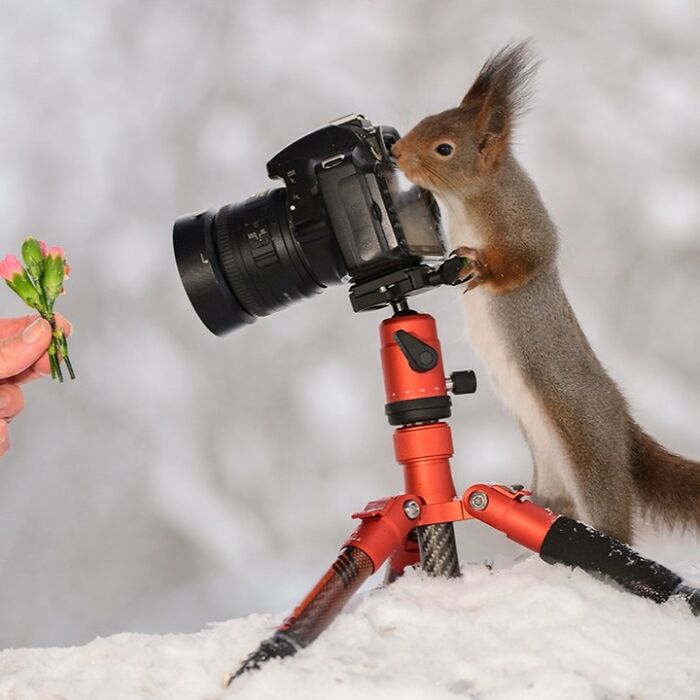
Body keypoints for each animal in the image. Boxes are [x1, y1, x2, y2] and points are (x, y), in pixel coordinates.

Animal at [391, 41, 700, 544]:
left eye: (444, 148)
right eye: (427, 118)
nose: (396, 151)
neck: (468, 198)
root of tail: (623, 427)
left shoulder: (523, 220)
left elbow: (529, 257)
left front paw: (478, 267)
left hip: (587, 448)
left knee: (611, 525)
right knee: (555, 506)